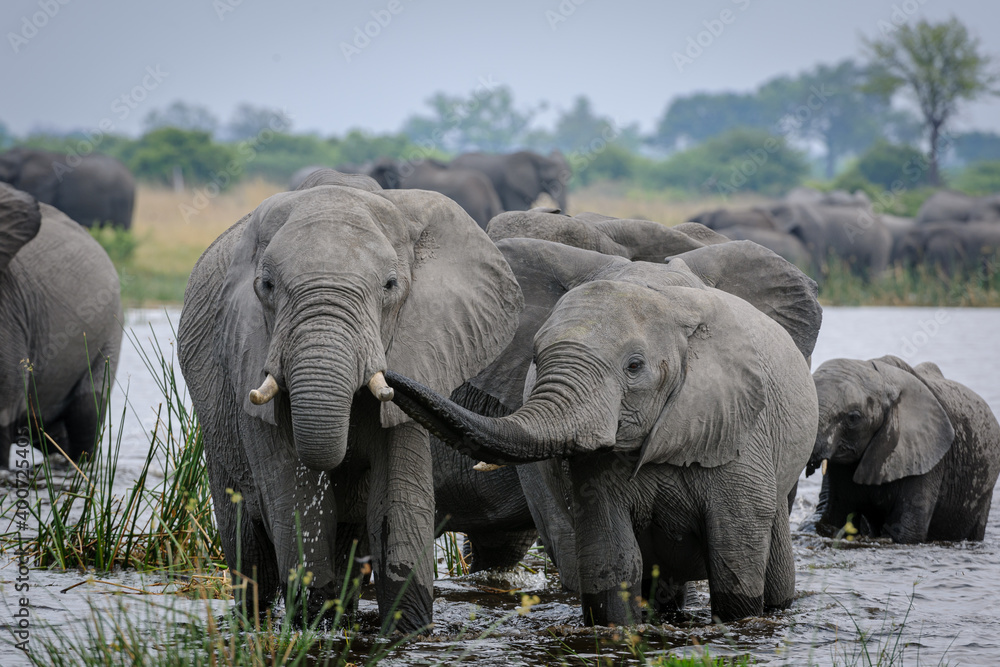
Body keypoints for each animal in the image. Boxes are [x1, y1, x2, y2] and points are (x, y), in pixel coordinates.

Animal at [176, 169, 523, 634]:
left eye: (390, 286)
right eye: (266, 286)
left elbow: (396, 502)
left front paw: (408, 633)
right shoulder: (246, 353)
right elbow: (296, 498)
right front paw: (313, 626)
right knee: (249, 549)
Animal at [385, 237, 822, 625]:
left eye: (634, 366)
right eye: (534, 357)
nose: (385, 378)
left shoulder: (739, 429)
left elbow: (735, 557)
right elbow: (612, 558)